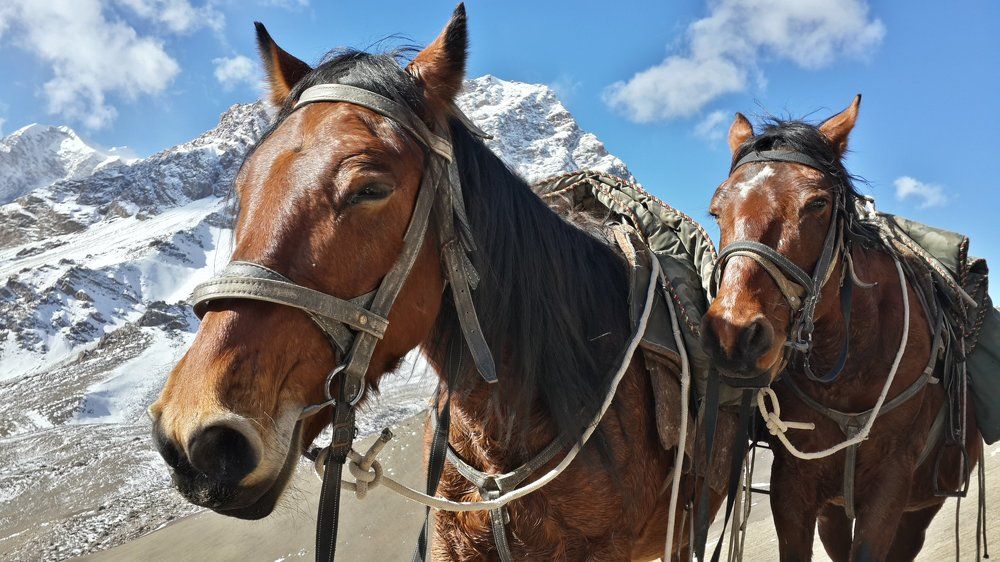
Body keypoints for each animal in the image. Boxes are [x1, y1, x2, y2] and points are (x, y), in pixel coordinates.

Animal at [701, 97, 982, 561]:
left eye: (817, 204)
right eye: (716, 210)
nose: (734, 336)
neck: (851, 370)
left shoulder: (890, 489)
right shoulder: (793, 486)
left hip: (920, 508)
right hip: (834, 510)